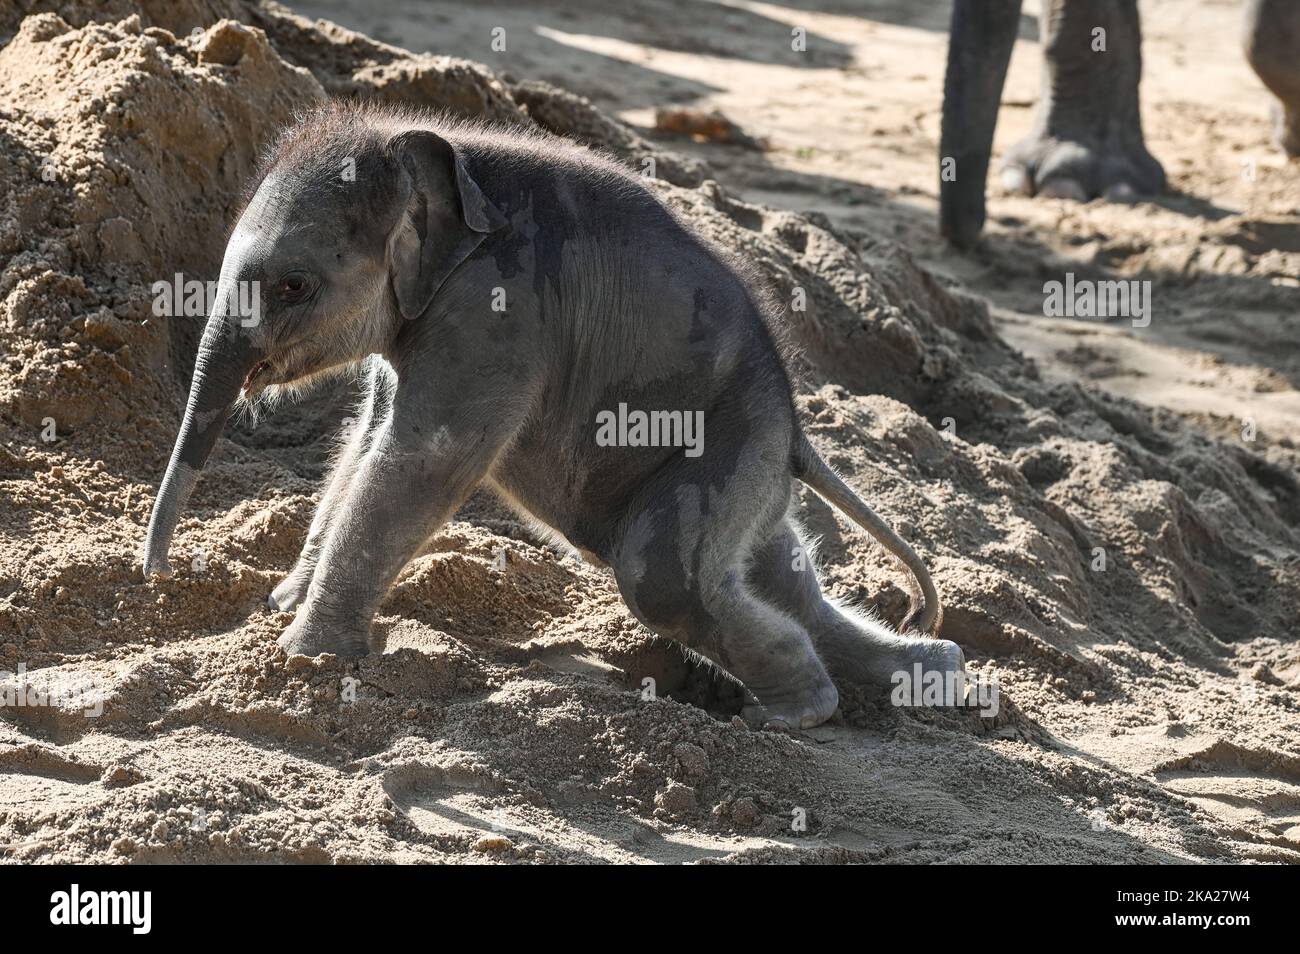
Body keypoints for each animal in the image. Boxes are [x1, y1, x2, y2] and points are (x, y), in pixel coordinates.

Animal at [142, 102, 961, 733]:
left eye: (293, 285)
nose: (158, 578)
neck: (428, 153)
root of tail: (796, 426)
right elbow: (368, 438)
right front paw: (283, 603)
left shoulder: (496, 312)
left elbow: (424, 459)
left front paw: (305, 658)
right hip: (750, 454)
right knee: (774, 575)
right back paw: (928, 671)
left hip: (730, 437)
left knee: (666, 578)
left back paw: (795, 713)